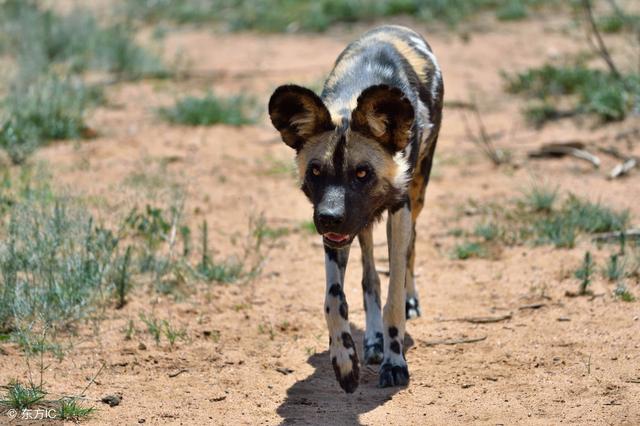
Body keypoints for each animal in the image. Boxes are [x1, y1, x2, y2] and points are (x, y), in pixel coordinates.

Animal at [268, 24, 442, 392]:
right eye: (315, 172)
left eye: (362, 173)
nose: (329, 217)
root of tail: (395, 26)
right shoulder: (338, 236)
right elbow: (334, 300)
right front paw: (345, 360)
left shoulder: (399, 209)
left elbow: (393, 299)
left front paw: (395, 362)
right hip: (359, 225)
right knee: (370, 277)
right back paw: (373, 341)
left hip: (415, 197)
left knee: (408, 253)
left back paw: (408, 305)